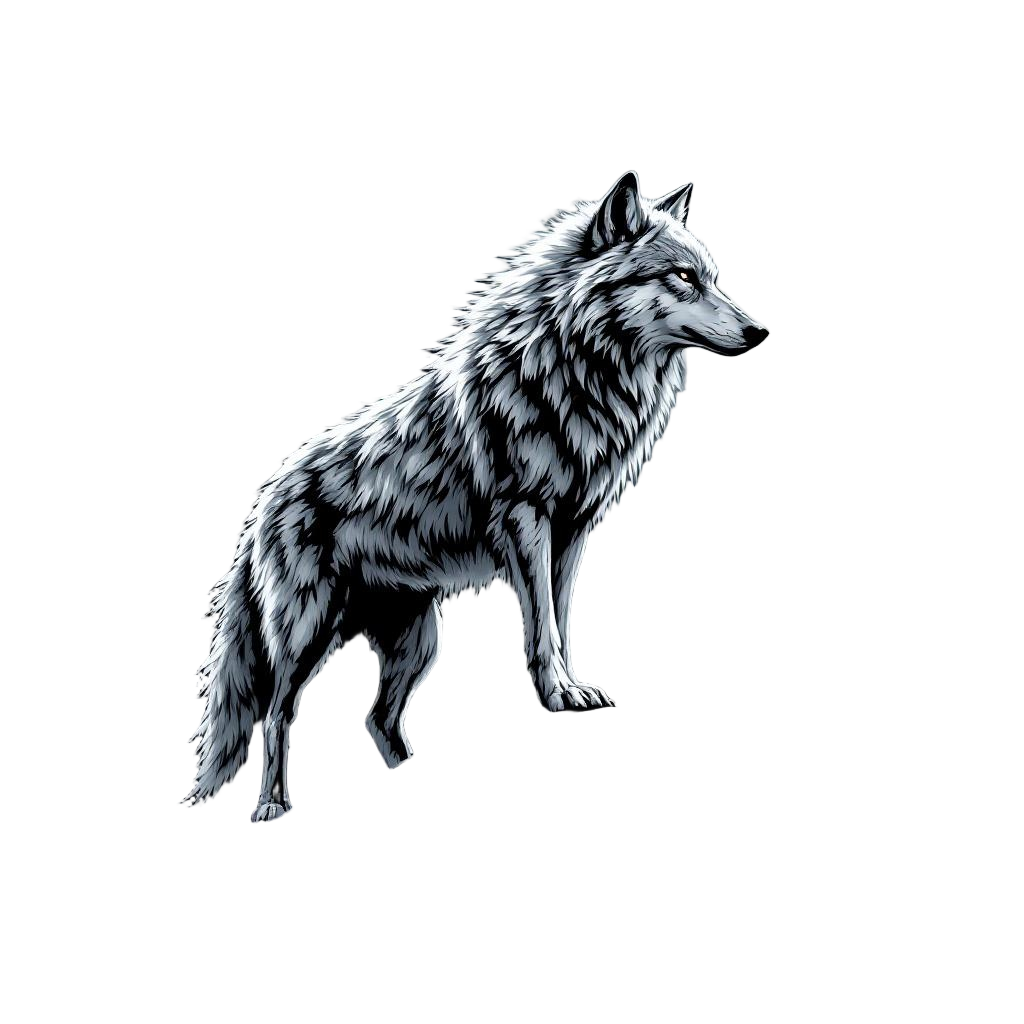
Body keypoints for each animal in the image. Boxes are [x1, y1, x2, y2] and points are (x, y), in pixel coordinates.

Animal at [176, 168, 771, 824]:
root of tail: (265, 495)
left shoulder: (574, 532)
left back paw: (404, 775)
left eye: (714, 276)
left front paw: (574, 685)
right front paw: (558, 695)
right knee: (275, 715)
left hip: (422, 642)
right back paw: (272, 807)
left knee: (375, 719)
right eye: (683, 277)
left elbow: (563, 621)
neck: (576, 373)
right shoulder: (528, 521)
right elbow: (541, 628)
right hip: (308, 632)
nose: (762, 331)